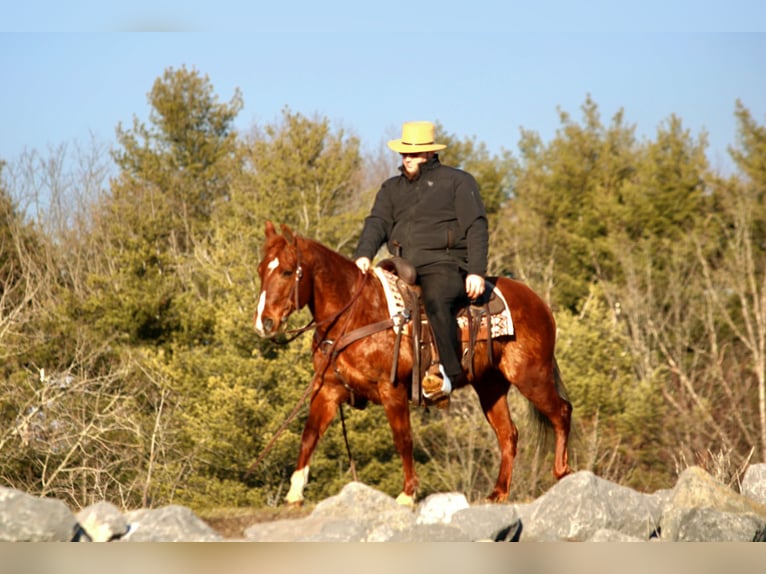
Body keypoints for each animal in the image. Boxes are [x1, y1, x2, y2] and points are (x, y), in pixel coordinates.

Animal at [253, 221, 572, 505]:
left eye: (286, 271)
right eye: (261, 270)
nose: (264, 323)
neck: (356, 314)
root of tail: (538, 302)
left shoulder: (391, 389)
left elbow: (403, 438)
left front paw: (407, 493)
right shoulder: (328, 390)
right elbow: (309, 436)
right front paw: (295, 493)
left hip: (531, 375)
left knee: (561, 412)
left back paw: (563, 472)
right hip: (490, 386)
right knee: (508, 434)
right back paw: (499, 493)